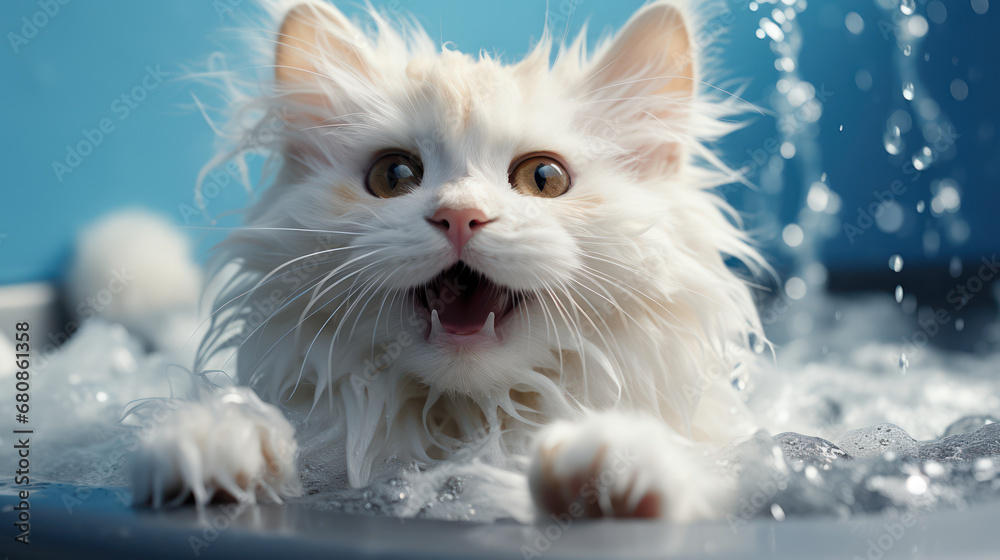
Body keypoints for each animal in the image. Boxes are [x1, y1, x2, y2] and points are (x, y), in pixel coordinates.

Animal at [133, 0, 768, 520]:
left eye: (543, 178)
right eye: (394, 176)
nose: (460, 216)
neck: (465, 431)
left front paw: (609, 461)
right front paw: (216, 442)